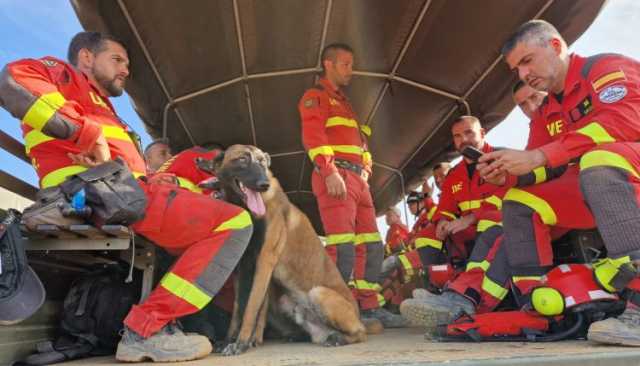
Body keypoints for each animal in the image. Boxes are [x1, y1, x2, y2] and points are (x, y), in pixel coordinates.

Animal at [195, 145, 376, 354]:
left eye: (262, 162)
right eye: (242, 159)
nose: (264, 184)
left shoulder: (264, 263)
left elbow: (251, 307)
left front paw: (241, 343)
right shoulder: (243, 269)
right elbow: (238, 309)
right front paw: (229, 340)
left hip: (319, 293)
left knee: (360, 334)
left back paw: (338, 338)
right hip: (286, 302)